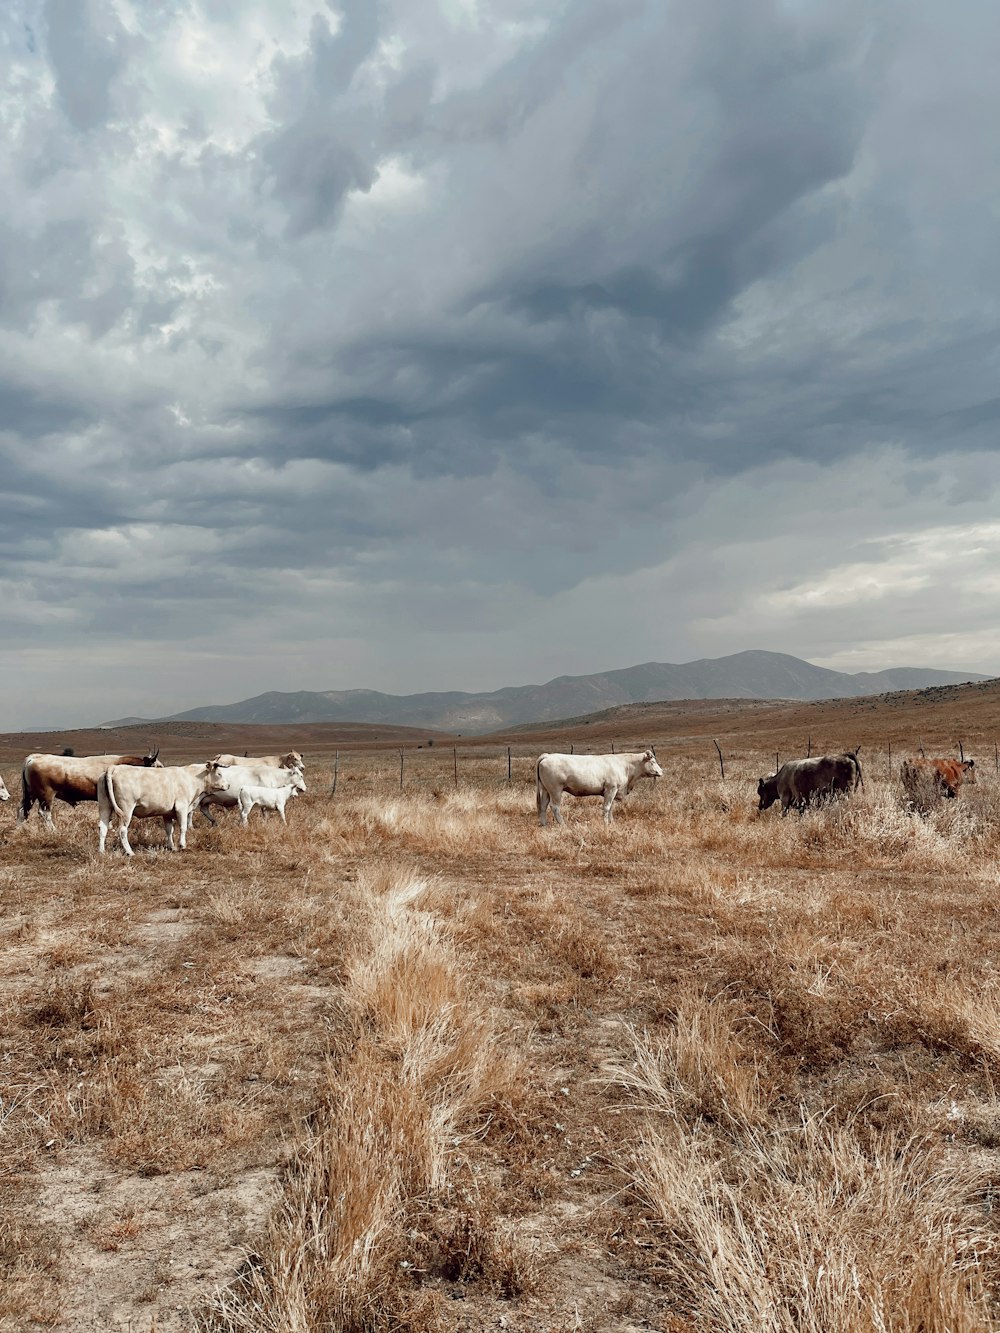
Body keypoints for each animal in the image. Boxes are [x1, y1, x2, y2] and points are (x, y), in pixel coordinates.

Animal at [18, 746, 162, 826]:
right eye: (159, 766)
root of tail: (35, 757)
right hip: (46, 795)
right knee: (44, 813)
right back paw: (53, 830)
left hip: (31, 794)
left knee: (22, 810)